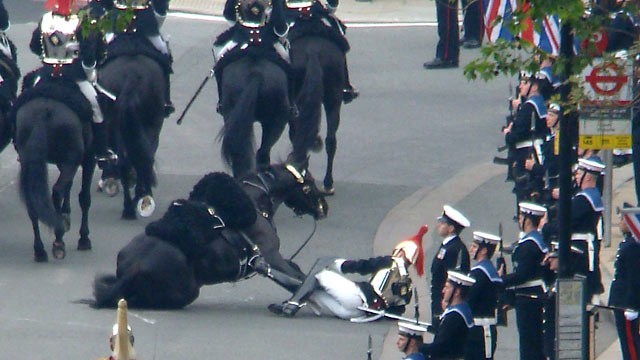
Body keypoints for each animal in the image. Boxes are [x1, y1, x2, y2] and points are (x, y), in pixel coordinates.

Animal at [13, 80, 97, 262]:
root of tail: (44, 112)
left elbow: (69, 186)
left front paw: (66, 215)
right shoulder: (88, 159)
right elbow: (84, 198)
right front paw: (84, 238)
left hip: (29, 161)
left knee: (33, 201)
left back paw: (40, 250)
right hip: (72, 158)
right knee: (57, 191)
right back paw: (58, 241)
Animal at [92, 162, 328, 308]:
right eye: (309, 182)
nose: (323, 208)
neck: (255, 201)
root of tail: (135, 267)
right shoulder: (272, 257)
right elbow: (300, 278)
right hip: (188, 292)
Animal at [97, 33, 168, 219]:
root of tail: (132, 78)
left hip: (117, 126)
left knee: (125, 161)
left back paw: (129, 206)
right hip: (148, 126)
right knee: (143, 158)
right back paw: (139, 198)